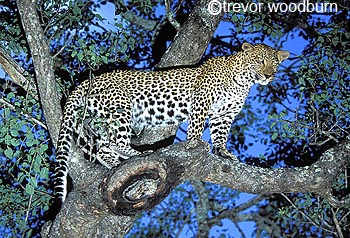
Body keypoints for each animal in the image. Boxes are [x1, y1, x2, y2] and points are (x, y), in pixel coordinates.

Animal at [54, 42, 290, 201]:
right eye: (260, 61)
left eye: (275, 64)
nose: (268, 76)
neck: (243, 82)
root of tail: (89, 80)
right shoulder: (202, 101)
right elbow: (196, 126)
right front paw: (194, 143)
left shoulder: (224, 115)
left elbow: (220, 135)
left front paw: (223, 152)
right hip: (121, 104)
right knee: (116, 142)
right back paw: (138, 153)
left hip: (101, 117)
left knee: (103, 149)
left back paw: (117, 164)